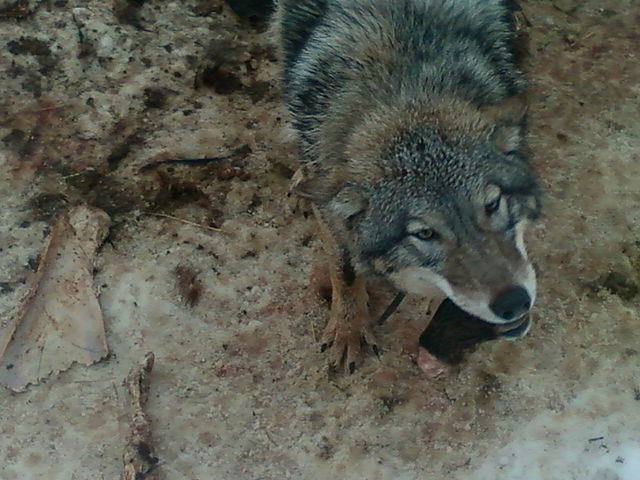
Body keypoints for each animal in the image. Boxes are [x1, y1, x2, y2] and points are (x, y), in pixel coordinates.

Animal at [274, 0, 540, 372]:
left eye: (491, 204)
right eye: (424, 234)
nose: (514, 302)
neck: (404, 82)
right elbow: (345, 269)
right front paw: (348, 330)